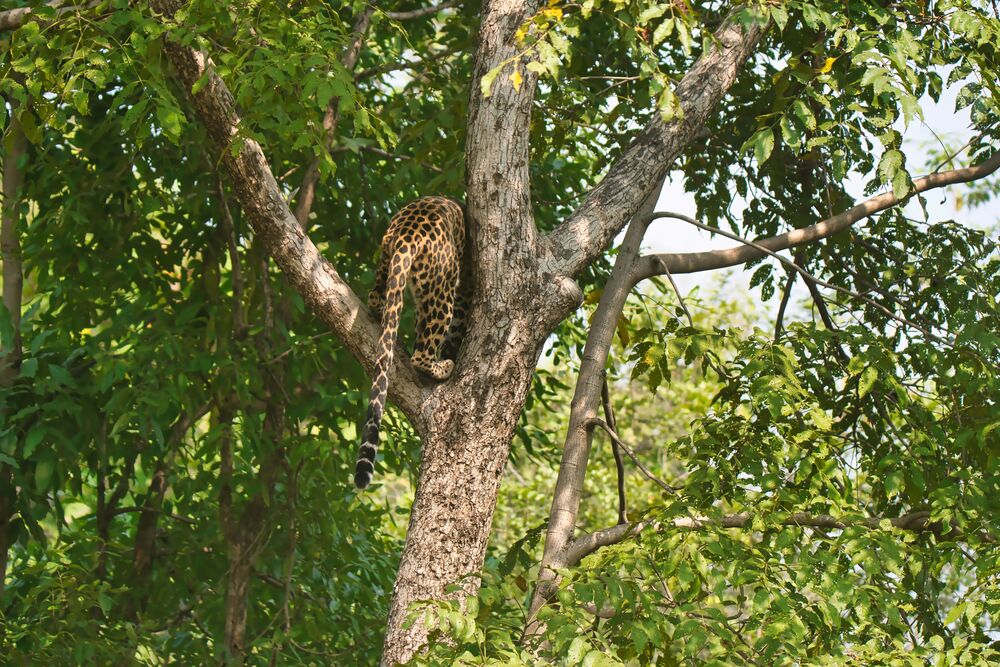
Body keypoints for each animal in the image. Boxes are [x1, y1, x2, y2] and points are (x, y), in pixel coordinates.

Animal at [354, 196, 469, 489]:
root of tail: (407, 233)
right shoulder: (464, 297)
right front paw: (450, 352)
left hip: (386, 264)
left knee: (376, 297)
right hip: (444, 288)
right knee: (423, 354)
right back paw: (443, 366)